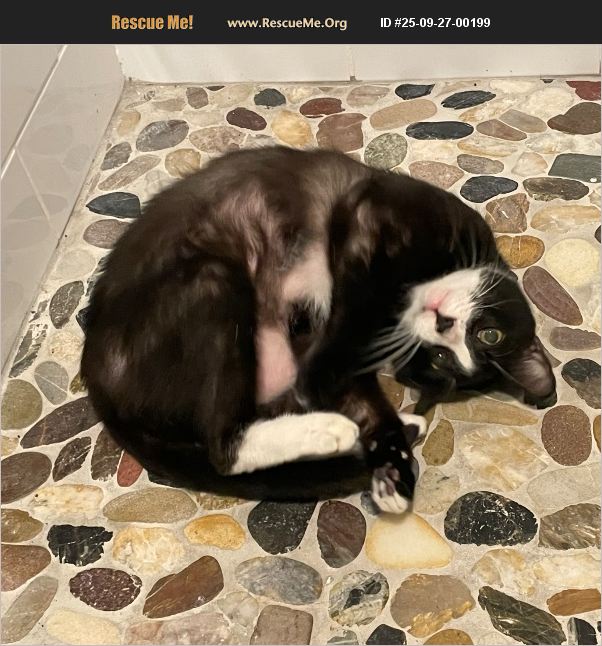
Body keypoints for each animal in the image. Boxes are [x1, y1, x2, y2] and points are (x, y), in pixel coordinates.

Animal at [81, 146, 557, 513]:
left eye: (438, 357)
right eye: (488, 336)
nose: (443, 322)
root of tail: (98, 386)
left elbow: (357, 392)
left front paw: (392, 468)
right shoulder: (372, 225)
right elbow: (350, 321)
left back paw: (367, 429)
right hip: (209, 279)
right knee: (222, 448)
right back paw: (335, 430)